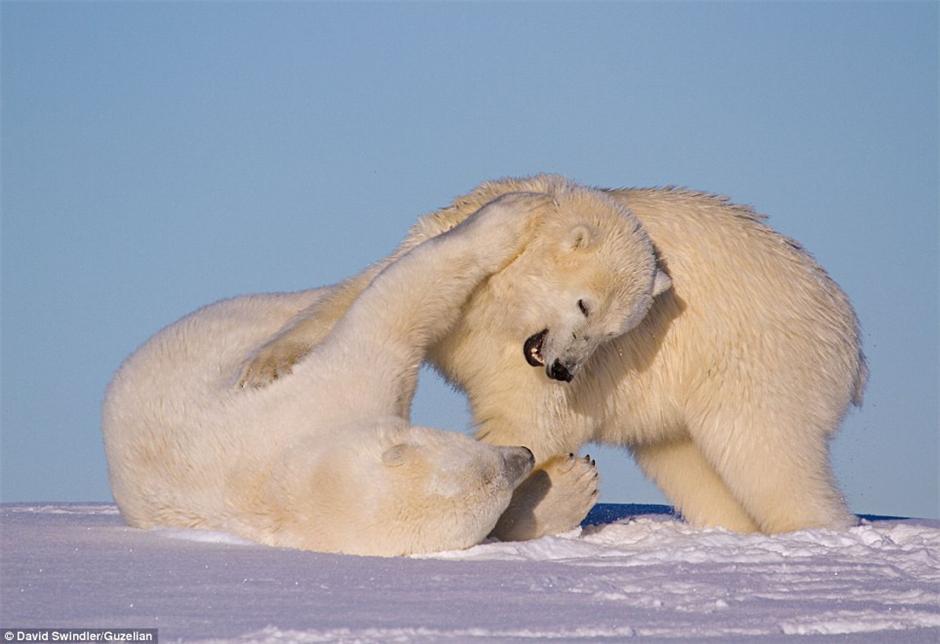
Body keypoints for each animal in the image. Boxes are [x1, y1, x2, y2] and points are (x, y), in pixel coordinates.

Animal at [102, 194, 568, 556]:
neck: (284, 482)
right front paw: (514, 212)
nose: (524, 455)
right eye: (492, 479)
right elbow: (394, 310)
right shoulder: (340, 387)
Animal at [241, 174, 868, 536]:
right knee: (692, 464)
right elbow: (370, 289)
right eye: (585, 305)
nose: (564, 367)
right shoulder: (450, 251)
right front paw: (264, 366)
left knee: (767, 453)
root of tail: (852, 344)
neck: (501, 314)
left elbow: (529, 421)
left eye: (618, 329)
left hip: (756, 359)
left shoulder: (546, 375)